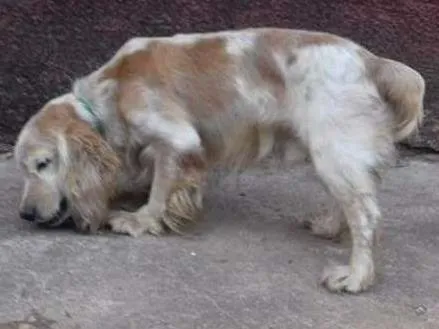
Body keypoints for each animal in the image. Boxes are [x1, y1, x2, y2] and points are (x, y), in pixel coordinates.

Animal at [13, 26, 426, 290]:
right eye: (23, 168)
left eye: (44, 164)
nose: (26, 214)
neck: (111, 91)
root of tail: (372, 61)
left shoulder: (177, 138)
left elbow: (161, 190)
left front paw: (139, 219)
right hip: (332, 156)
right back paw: (329, 226)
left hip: (332, 152)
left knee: (366, 216)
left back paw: (355, 277)